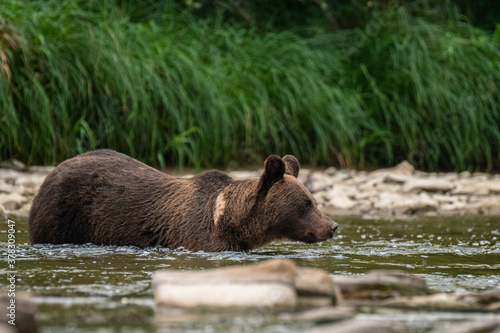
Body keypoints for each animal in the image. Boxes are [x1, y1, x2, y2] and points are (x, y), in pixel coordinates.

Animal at [29, 149, 338, 250]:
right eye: (306, 204)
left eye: (314, 200)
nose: (332, 226)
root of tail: (53, 170)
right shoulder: (199, 235)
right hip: (62, 215)